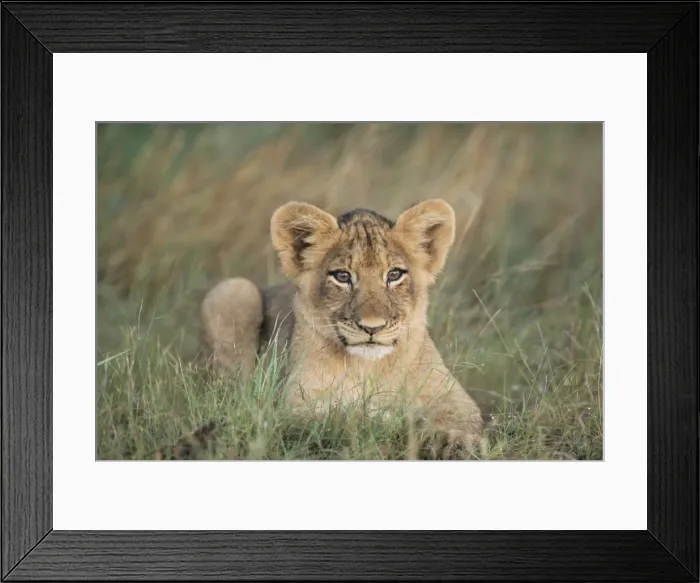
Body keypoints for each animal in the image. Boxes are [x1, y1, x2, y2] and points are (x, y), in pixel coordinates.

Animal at [157, 199, 484, 460]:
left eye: (394, 274)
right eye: (342, 276)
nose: (372, 327)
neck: (368, 368)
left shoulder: (452, 394)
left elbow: (462, 418)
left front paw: (457, 442)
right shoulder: (293, 406)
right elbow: (344, 416)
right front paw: (387, 418)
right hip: (232, 291)